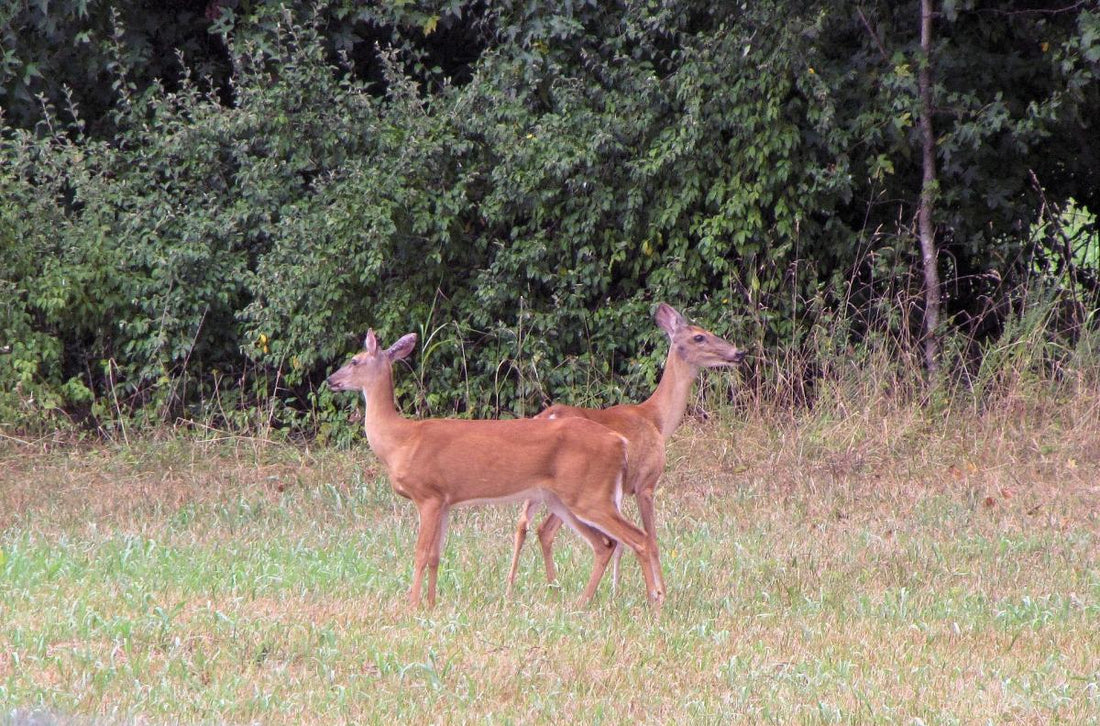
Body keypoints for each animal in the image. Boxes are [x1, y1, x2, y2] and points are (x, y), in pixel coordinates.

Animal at [326, 329, 664, 609]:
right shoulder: (445, 500)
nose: (330, 380)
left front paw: (412, 605)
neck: (401, 440)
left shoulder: (428, 495)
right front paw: (432, 604)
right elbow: (435, 556)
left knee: (638, 537)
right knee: (605, 543)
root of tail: (620, 442)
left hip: (590, 494)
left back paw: (654, 602)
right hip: (564, 498)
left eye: (354, 360)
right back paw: (583, 602)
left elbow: (420, 554)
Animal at [506, 303, 745, 597]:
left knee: (527, 524)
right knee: (545, 528)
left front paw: (616, 589)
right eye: (699, 337)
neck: (657, 420)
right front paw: (660, 591)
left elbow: (622, 543)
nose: (738, 352)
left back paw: (528, 586)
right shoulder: (645, 483)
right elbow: (651, 539)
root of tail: (548, 415)